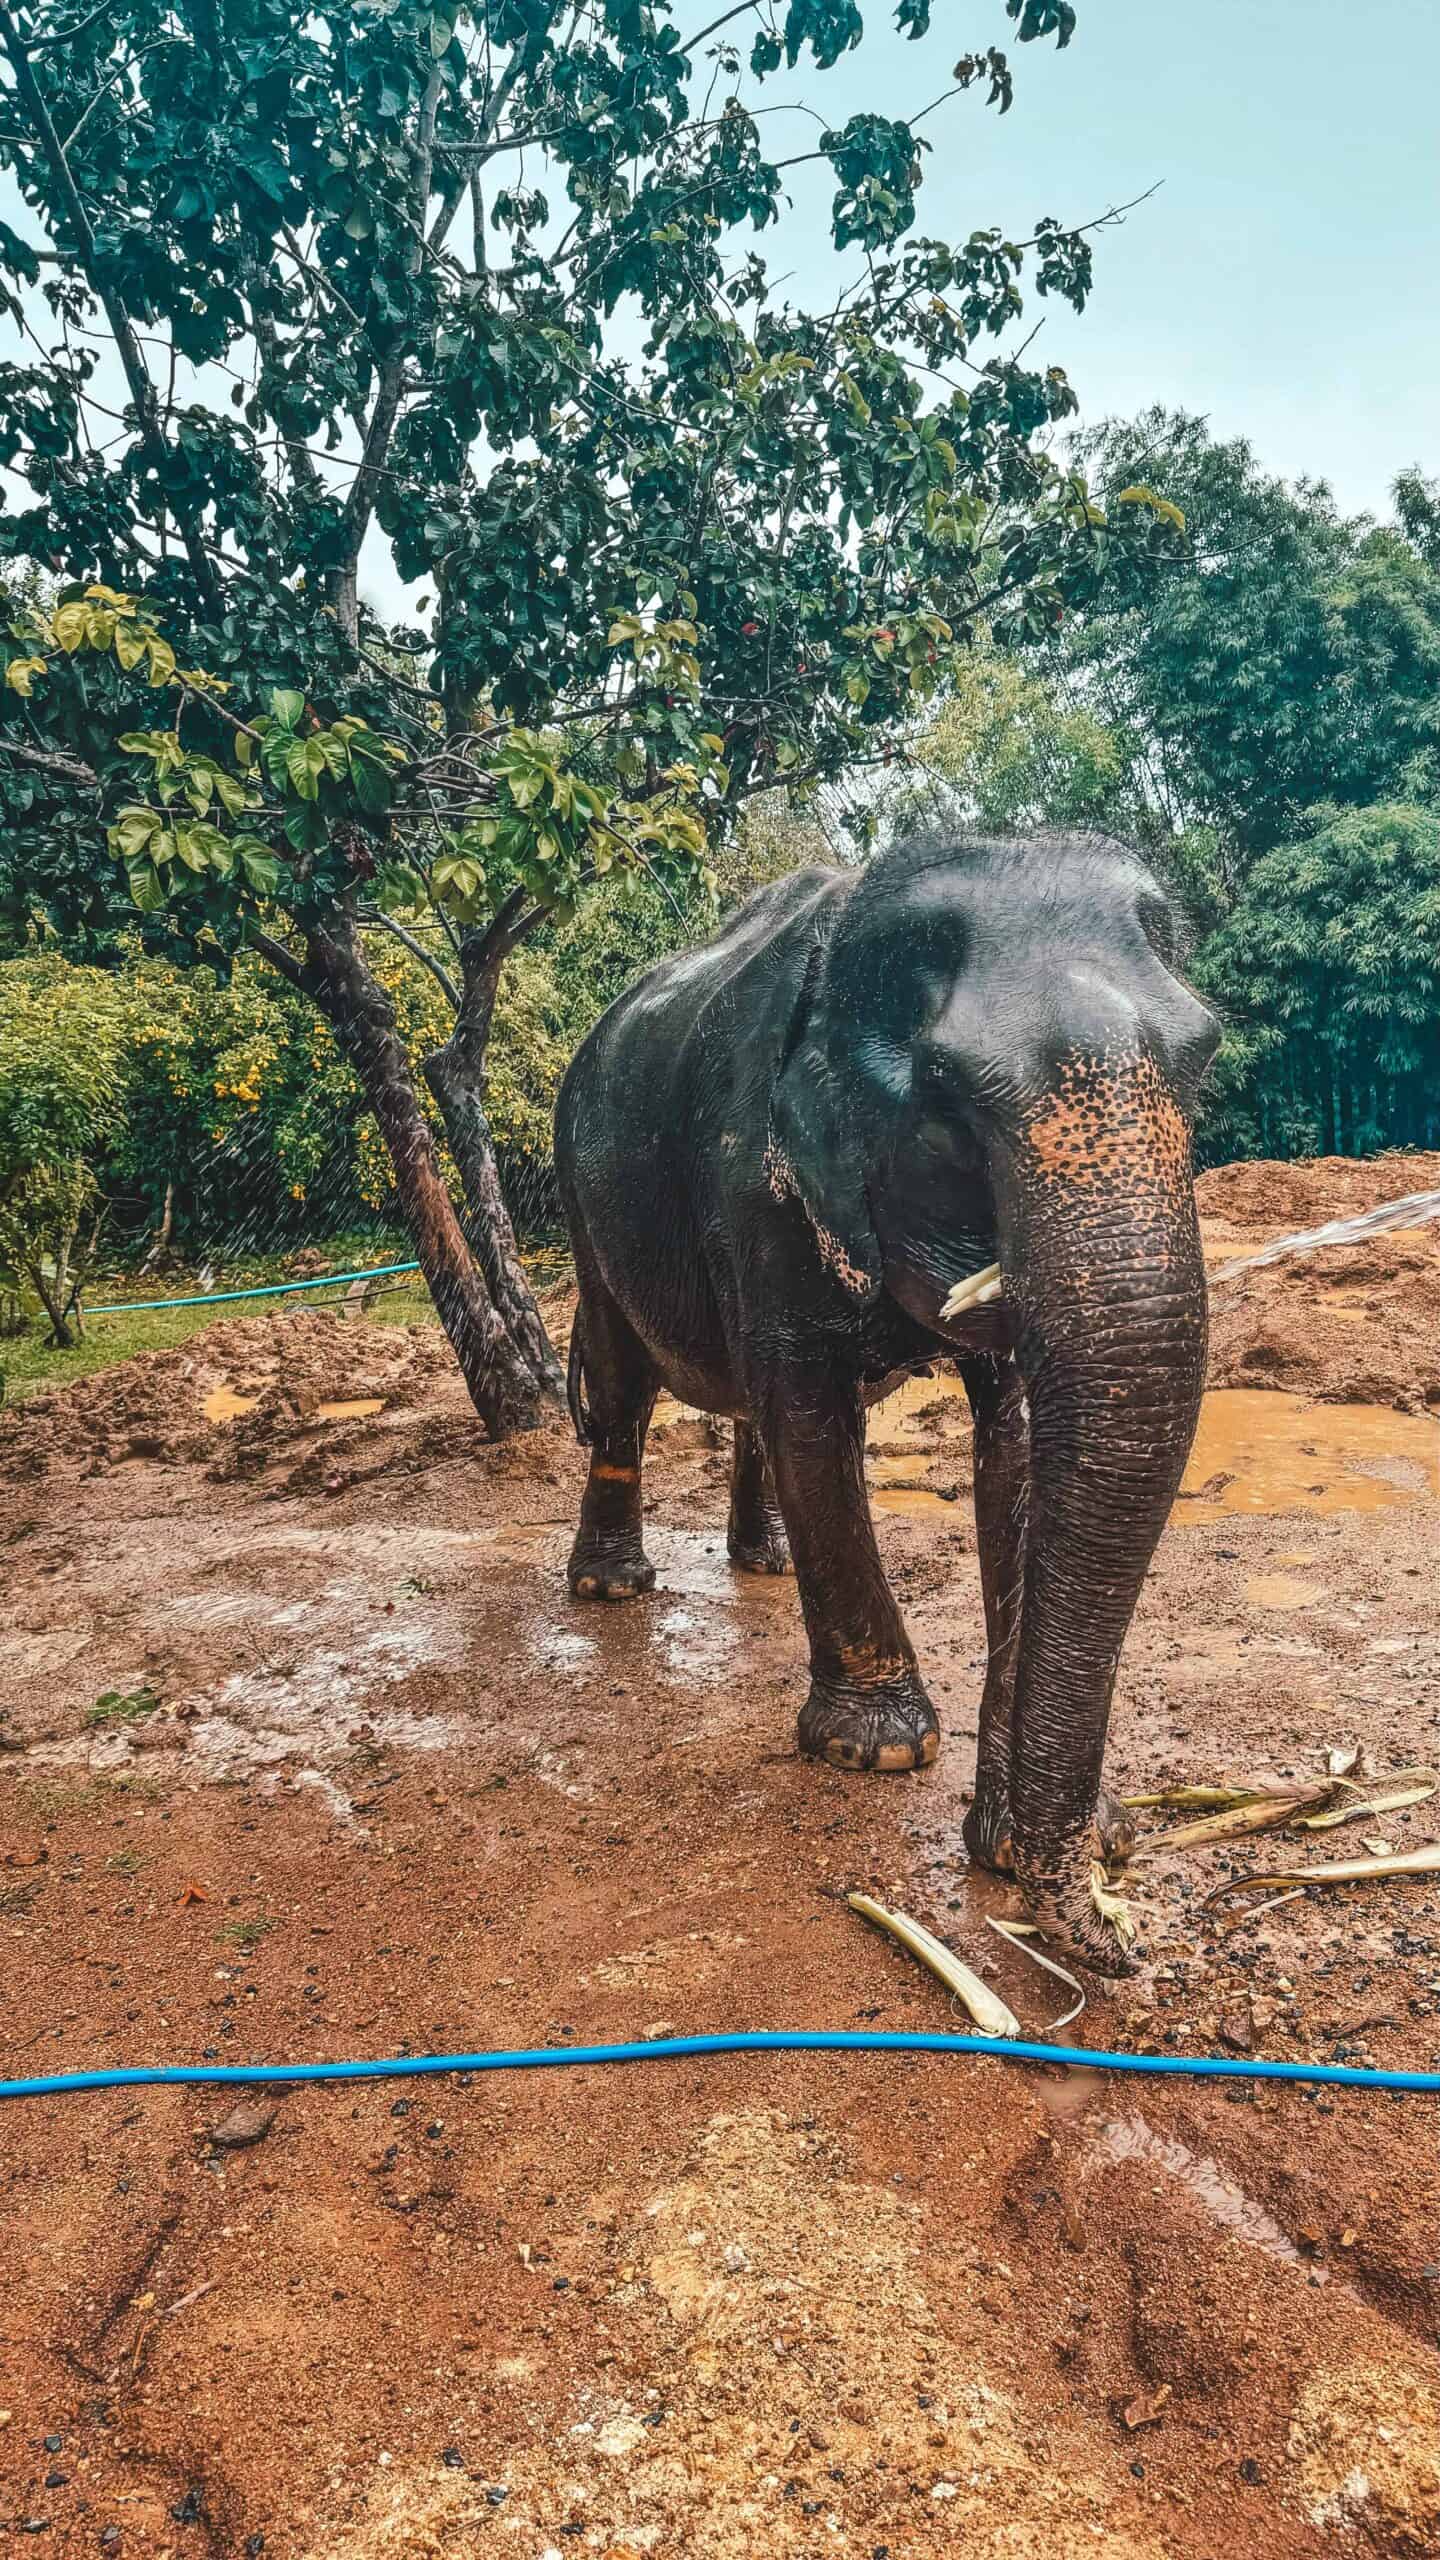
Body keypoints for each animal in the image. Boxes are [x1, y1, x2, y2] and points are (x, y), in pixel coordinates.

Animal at [553, 830, 1219, 1970]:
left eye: (1204, 1056)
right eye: (947, 1103)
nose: (1122, 1941)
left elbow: (1021, 1443)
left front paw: (1032, 1834)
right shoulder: (752, 1176)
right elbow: (807, 1405)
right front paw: (879, 1750)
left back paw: (764, 1562)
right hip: (581, 1199)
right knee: (626, 1382)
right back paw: (610, 1588)